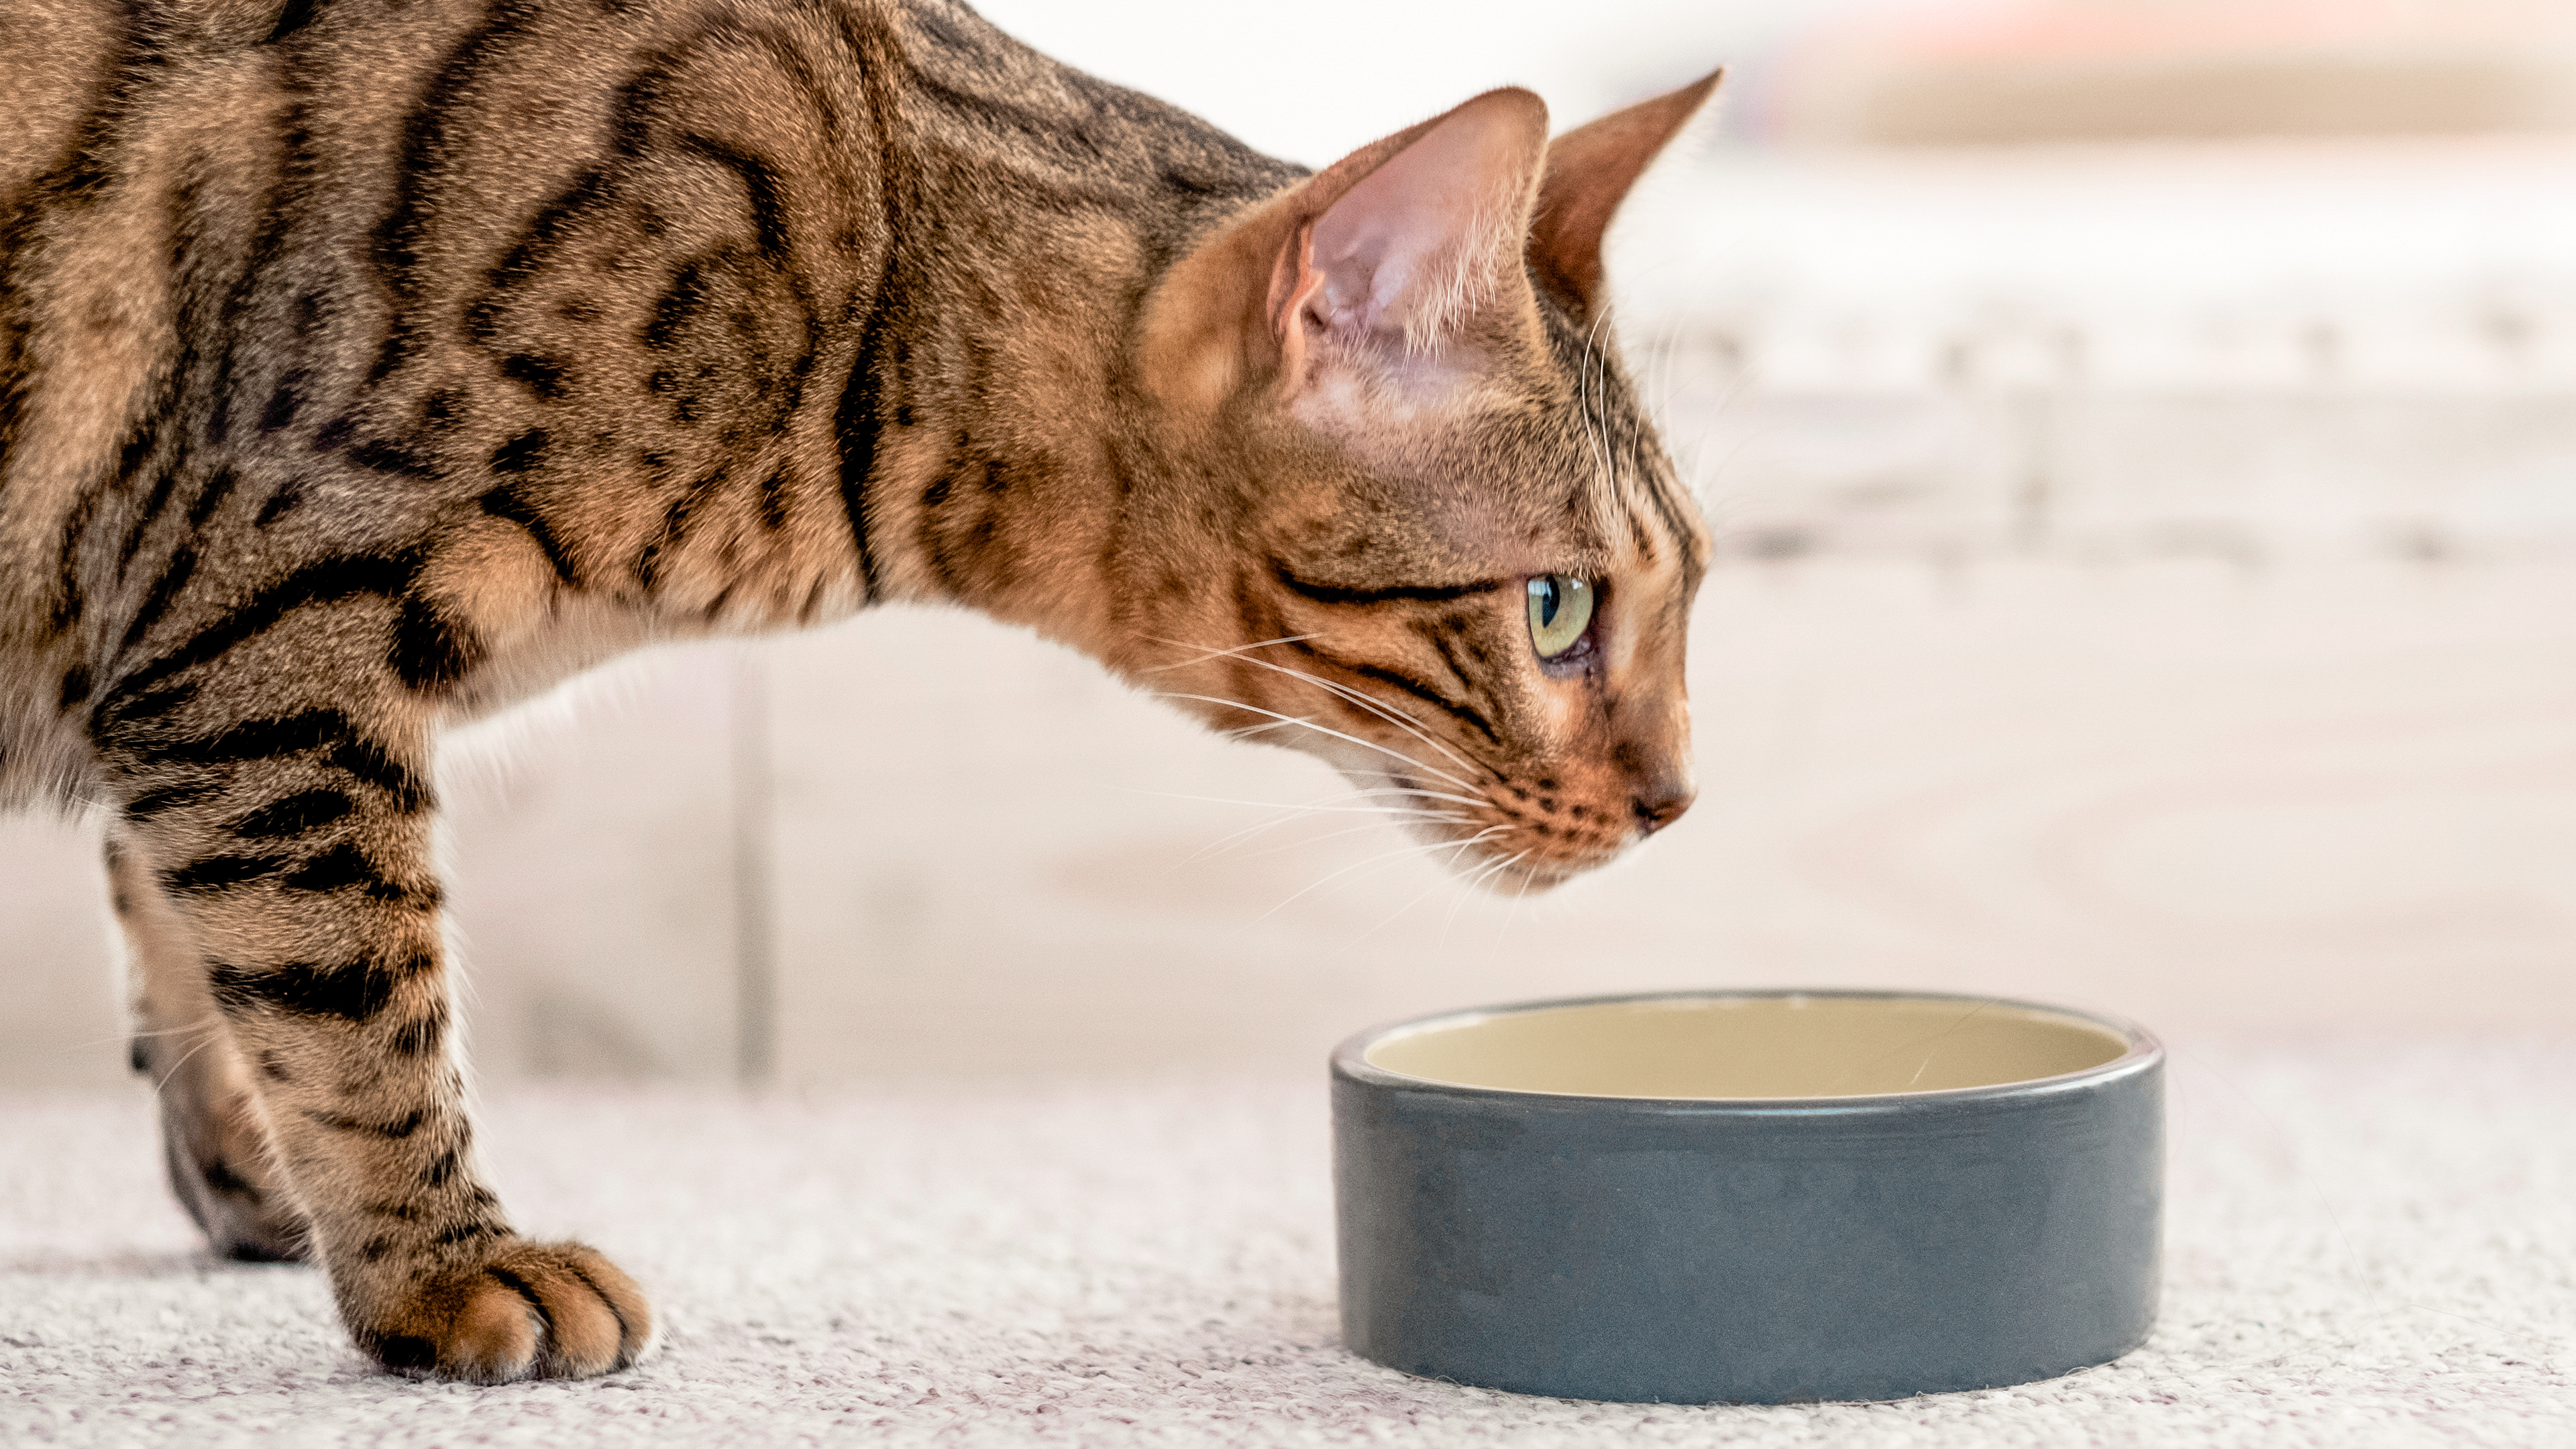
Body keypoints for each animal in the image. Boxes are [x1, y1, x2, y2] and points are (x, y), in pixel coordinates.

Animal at [10, 0, 1721, 1382]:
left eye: (1691, 593)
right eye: (1559, 610)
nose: (1675, 803)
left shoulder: (174, 671)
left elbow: (182, 929)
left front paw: (249, 1174)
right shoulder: (263, 637)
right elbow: (359, 993)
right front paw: (441, 1266)